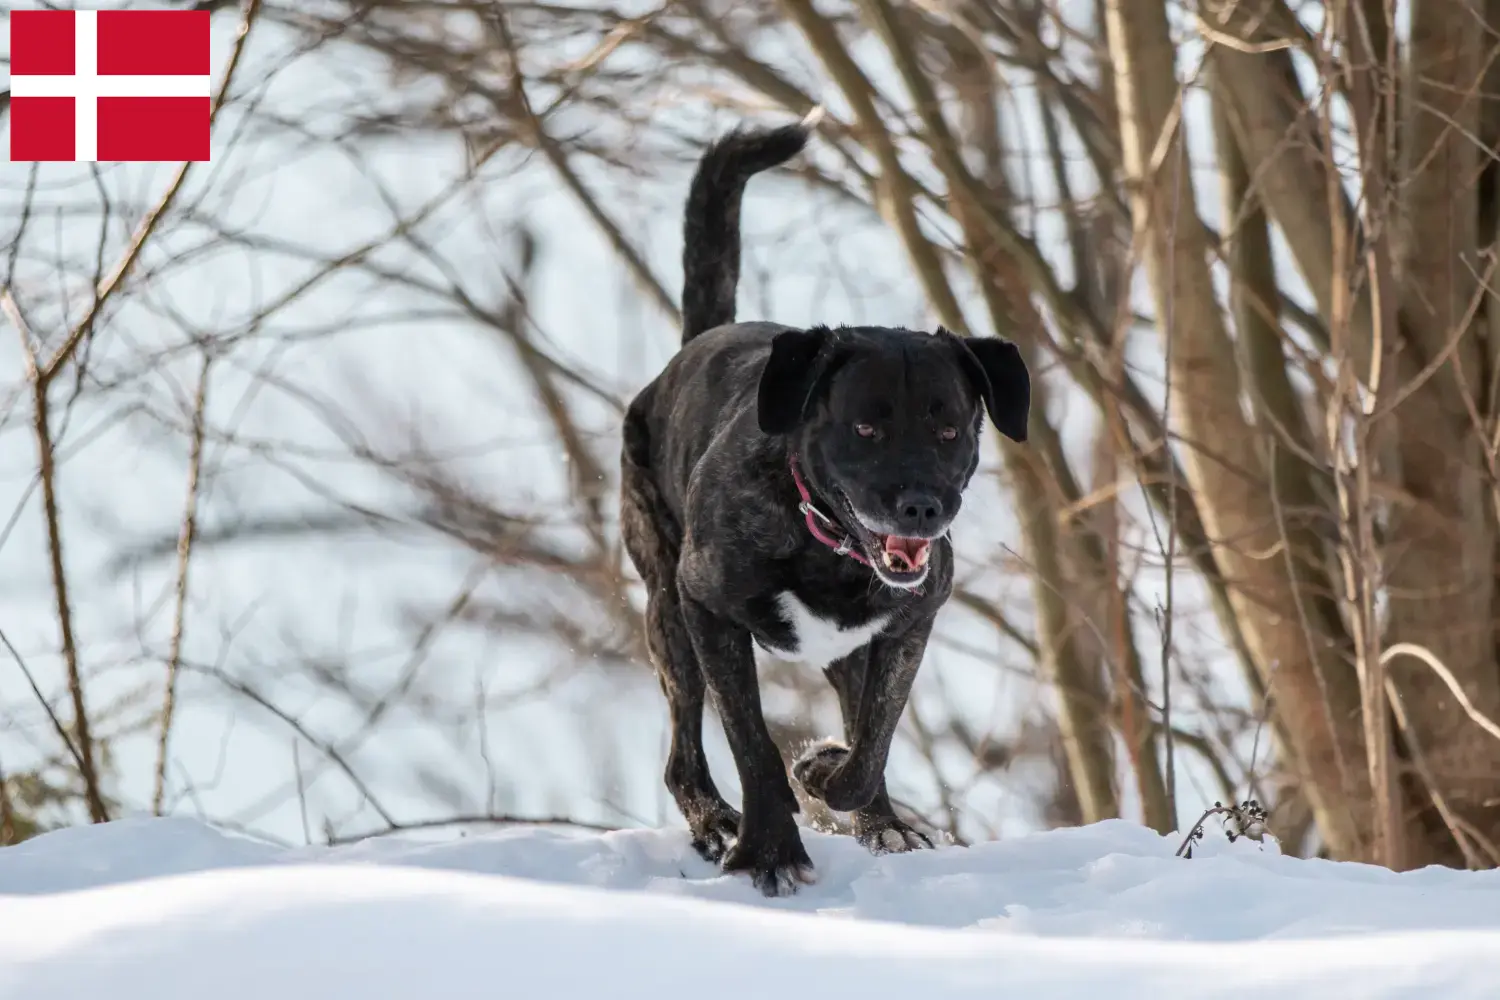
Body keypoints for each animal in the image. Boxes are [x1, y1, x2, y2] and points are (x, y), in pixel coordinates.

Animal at [621, 113, 1032, 893]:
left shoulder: (907, 626)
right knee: (682, 753)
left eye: (950, 428)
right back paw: (713, 820)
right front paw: (770, 850)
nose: (921, 506)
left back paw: (880, 820)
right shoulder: (707, 610)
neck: (825, 544)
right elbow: (752, 745)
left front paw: (833, 779)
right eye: (865, 427)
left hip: (841, 650)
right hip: (666, 611)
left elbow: (871, 743)